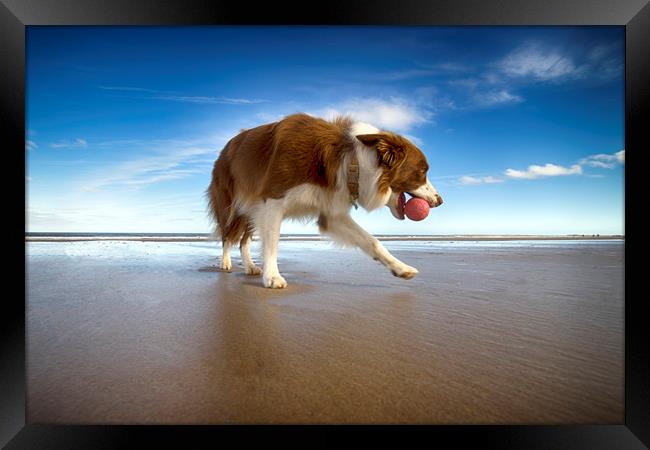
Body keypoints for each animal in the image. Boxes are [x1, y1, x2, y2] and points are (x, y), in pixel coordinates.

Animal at [208, 112, 440, 288]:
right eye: (422, 172)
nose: (440, 200)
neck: (351, 161)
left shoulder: (331, 213)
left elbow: (371, 241)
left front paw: (400, 268)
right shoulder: (272, 201)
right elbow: (272, 242)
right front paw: (273, 276)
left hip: (252, 209)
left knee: (244, 240)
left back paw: (249, 266)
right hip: (231, 204)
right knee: (227, 235)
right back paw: (226, 262)